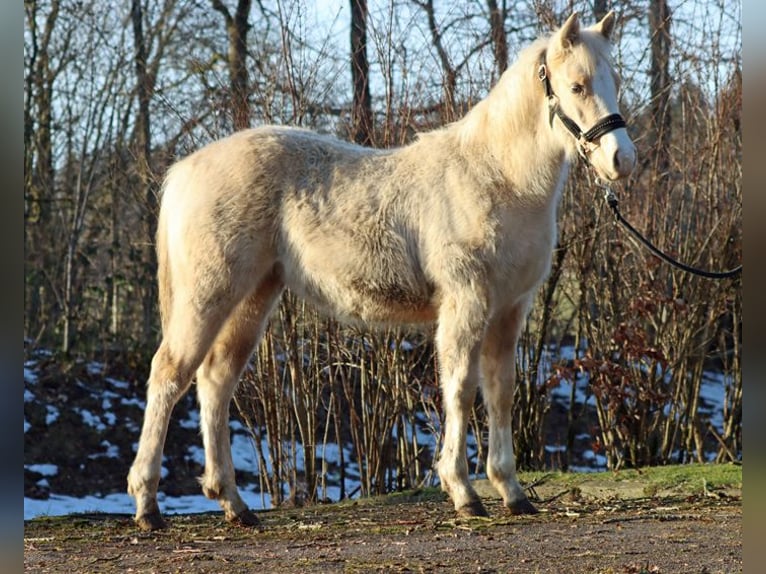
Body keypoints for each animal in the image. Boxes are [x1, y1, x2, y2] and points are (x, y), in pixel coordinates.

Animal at [129, 10, 640, 532]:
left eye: (614, 82)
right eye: (576, 86)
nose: (622, 160)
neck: (496, 177)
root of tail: (186, 169)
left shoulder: (509, 310)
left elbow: (500, 392)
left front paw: (511, 491)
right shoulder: (466, 304)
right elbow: (460, 389)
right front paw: (462, 491)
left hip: (255, 295)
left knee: (216, 380)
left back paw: (233, 502)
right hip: (209, 295)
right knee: (169, 373)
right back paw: (148, 505)